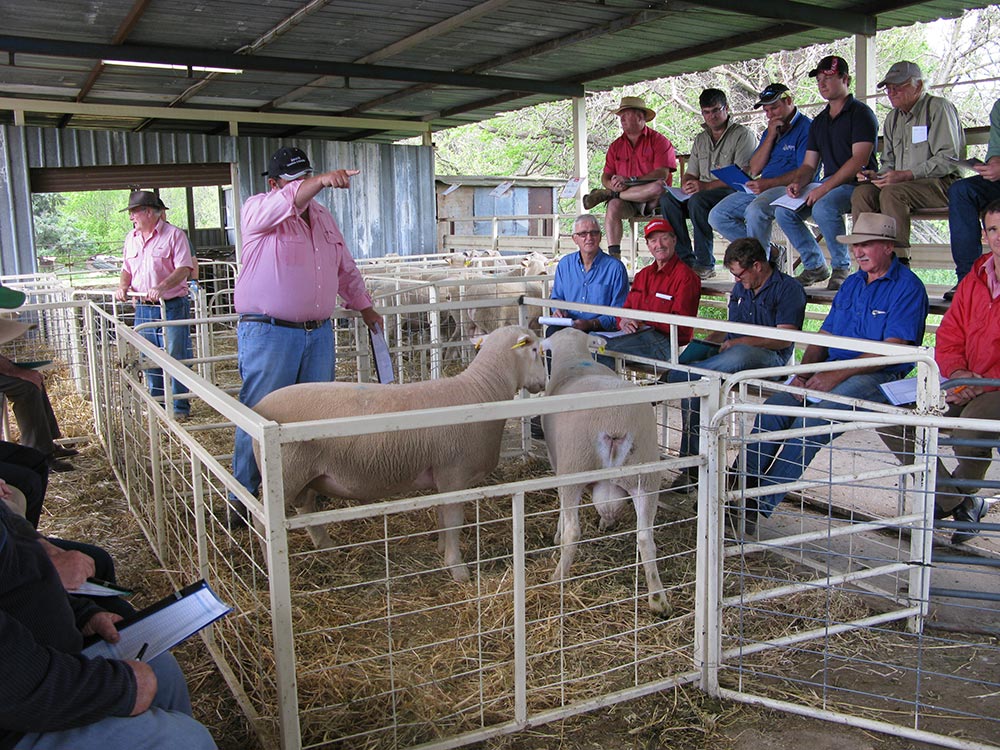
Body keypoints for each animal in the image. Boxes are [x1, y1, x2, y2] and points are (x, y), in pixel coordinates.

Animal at [250, 328, 548, 580]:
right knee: (262, 522)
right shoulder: (454, 474)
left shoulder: (441, 477)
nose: (543, 384)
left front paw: (441, 549)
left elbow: (442, 517)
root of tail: (259, 407)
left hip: (310, 473)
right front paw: (457, 567)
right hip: (288, 473)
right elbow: (454, 521)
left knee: (306, 507)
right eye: (536, 350)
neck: (482, 392)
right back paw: (269, 566)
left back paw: (326, 546)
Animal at [540, 328, 672, 616]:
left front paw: (556, 534)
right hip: (646, 475)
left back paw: (557, 578)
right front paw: (606, 521)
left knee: (573, 533)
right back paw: (658, 600)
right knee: (645, 538)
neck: (575, 361)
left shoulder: (557, 463)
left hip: (574, 466)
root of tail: (615, 420)